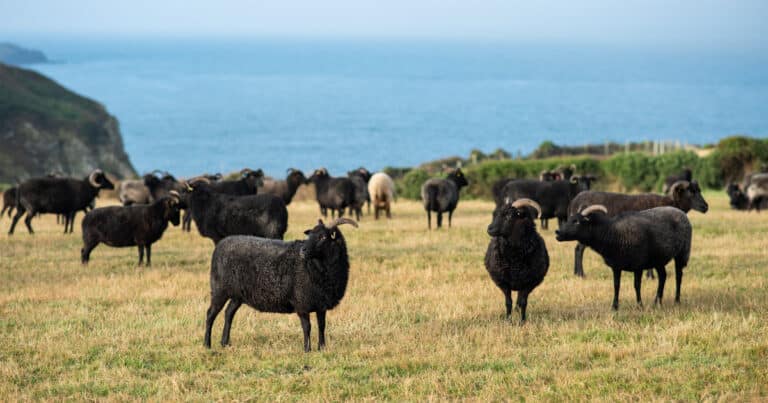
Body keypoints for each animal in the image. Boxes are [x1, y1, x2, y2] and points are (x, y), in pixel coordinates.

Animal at [204, 218, 360, 354]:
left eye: (323, 237)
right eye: (310, 235)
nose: (303, 250)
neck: (316, 267)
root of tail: (221, 244)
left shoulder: (321, 304)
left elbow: (322, 326)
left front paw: (322, 348)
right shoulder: (302, 302)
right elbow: (307, 327)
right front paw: (307, 349)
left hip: (238, 294)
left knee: (228, 313)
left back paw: (224, 343)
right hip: (219, 289)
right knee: (211, 314)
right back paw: (207, 344)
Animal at [556, 207, 692, 310]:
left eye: (577, 221)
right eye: (569, 219)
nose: (557, 232)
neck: (612, 233)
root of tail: (680, 211)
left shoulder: (638, 265)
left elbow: (636, 285)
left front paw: (639, 305)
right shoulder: (616, 266)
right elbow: (616, 286)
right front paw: (614, 307)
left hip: (682, 253)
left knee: (678, 276)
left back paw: (676, 300)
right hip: (658, 259)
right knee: (663, 276)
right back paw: (657, 301)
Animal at [568, 182, 708, 280]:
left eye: (698, 190)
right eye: (691, 192)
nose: (706, 206)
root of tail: (574, 201)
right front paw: (651, 276)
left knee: (576, 249)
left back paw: (576, 273)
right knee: (579, 250)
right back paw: (581, 274)